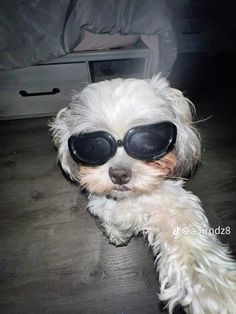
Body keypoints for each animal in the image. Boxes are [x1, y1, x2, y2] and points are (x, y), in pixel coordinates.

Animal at [50, 75, 236, 312]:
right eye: (93, 146)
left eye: (147, 141)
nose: (119, 175)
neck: (130, 199)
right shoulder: (102, 205)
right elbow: (110, 219)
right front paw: (117, 233)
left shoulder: (172, 207)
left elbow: (191, 251)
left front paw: (216, 291)